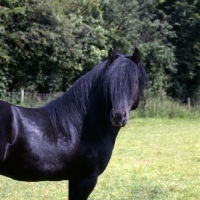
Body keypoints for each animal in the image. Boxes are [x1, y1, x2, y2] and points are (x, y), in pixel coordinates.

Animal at [0, 48, 147, 198]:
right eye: (110, 81)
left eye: (135, 81)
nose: (118, 116)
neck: (82, 127)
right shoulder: (85, 179)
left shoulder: (75, 180)